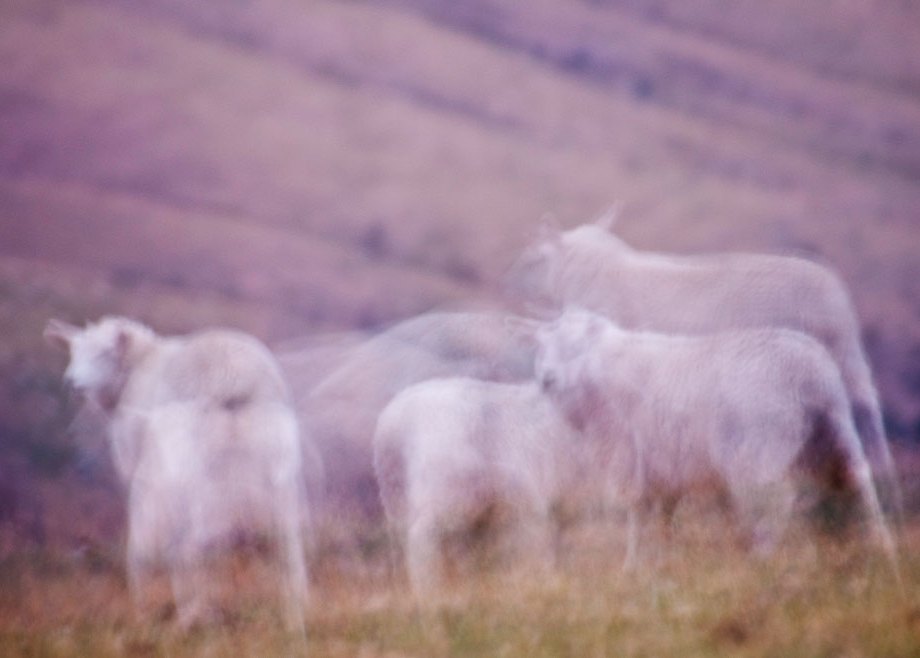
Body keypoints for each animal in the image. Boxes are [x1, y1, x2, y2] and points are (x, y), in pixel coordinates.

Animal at [45, 316, 310, 633]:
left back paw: (190, 616)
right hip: (276, 468)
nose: (71, 383)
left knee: (191, 546)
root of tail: (232, 378)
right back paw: (294, 616)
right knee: (287, 544)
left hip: (188, 470)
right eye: (73, 352)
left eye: (104, 352)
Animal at [373, 377, 595, 598]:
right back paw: (430, 590)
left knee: (403, 536)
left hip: (396, 490)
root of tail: (393, 421)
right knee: (426, 534)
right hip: (447, 478)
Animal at [533, 308, 898, 573]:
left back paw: (761, 558)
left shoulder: (631, 456)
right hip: (833, 434)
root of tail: (812, 370)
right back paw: (881, 550)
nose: (546, 378)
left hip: (759, 450)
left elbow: (637, 513)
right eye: (544, 347)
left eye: (576, 346)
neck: (600, 373)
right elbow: (664, 515)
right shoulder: (667, 467)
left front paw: (632, 567)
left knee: (776, 500)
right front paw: (663, 561)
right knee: (859, 481)